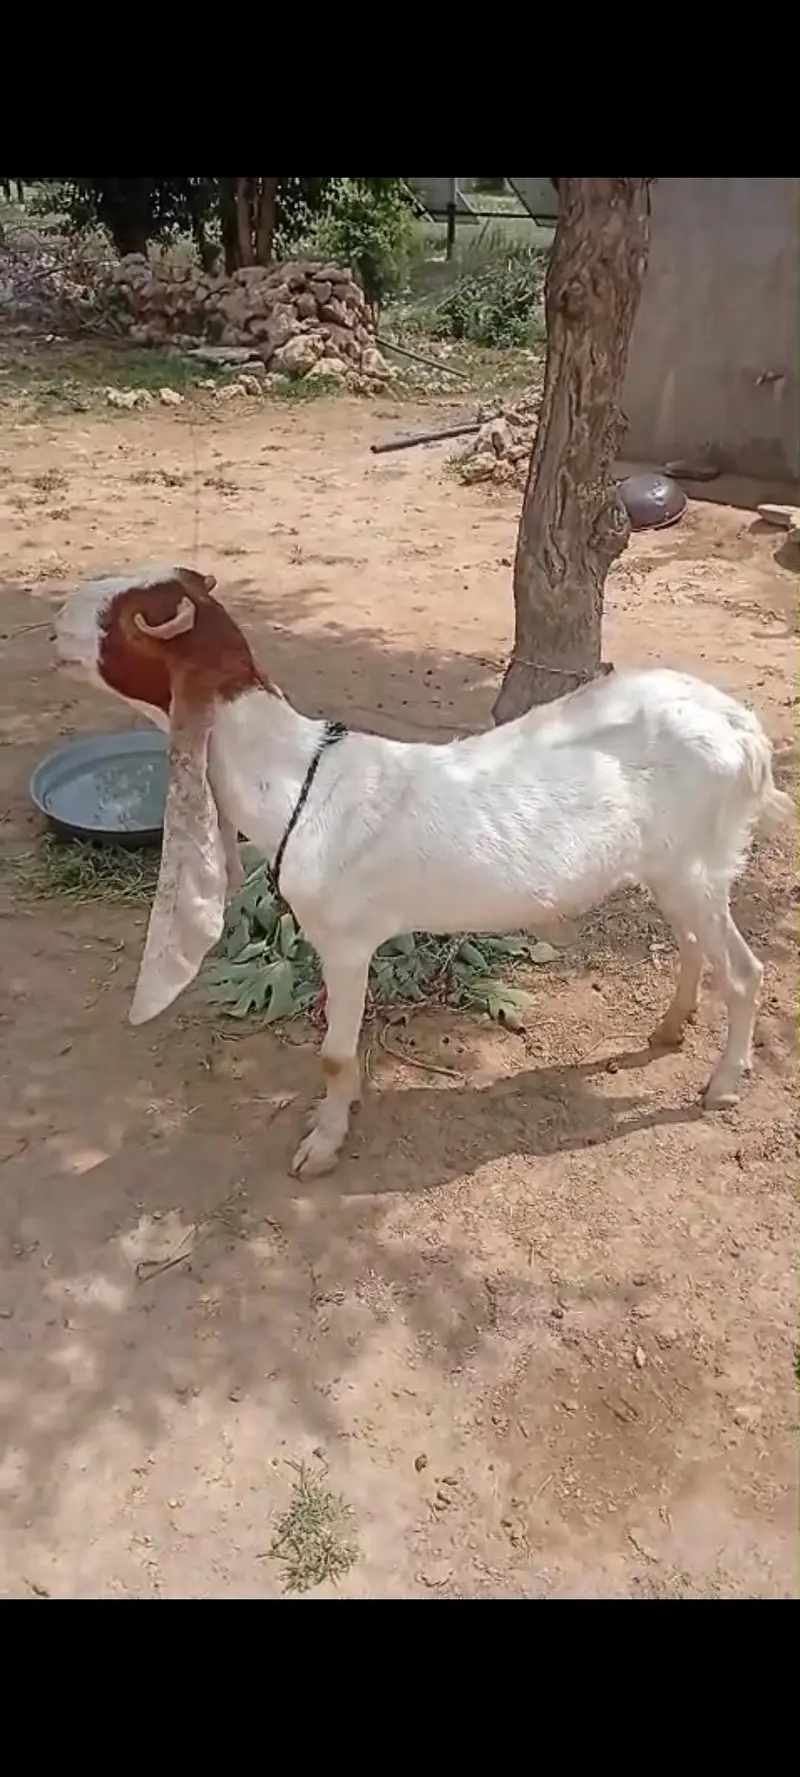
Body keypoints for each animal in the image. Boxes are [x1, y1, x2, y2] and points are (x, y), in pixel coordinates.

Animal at [55, 565, 792, 1179]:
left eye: (128, 617)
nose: (59, 619)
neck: (295, 779)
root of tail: (744, 729)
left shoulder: (346, 941)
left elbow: (334, 1054)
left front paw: (322, 1145)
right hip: (674, 866)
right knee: (698, 944)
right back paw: (671, 1027)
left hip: (696, 864)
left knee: (745, 970)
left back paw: (722, 1084)